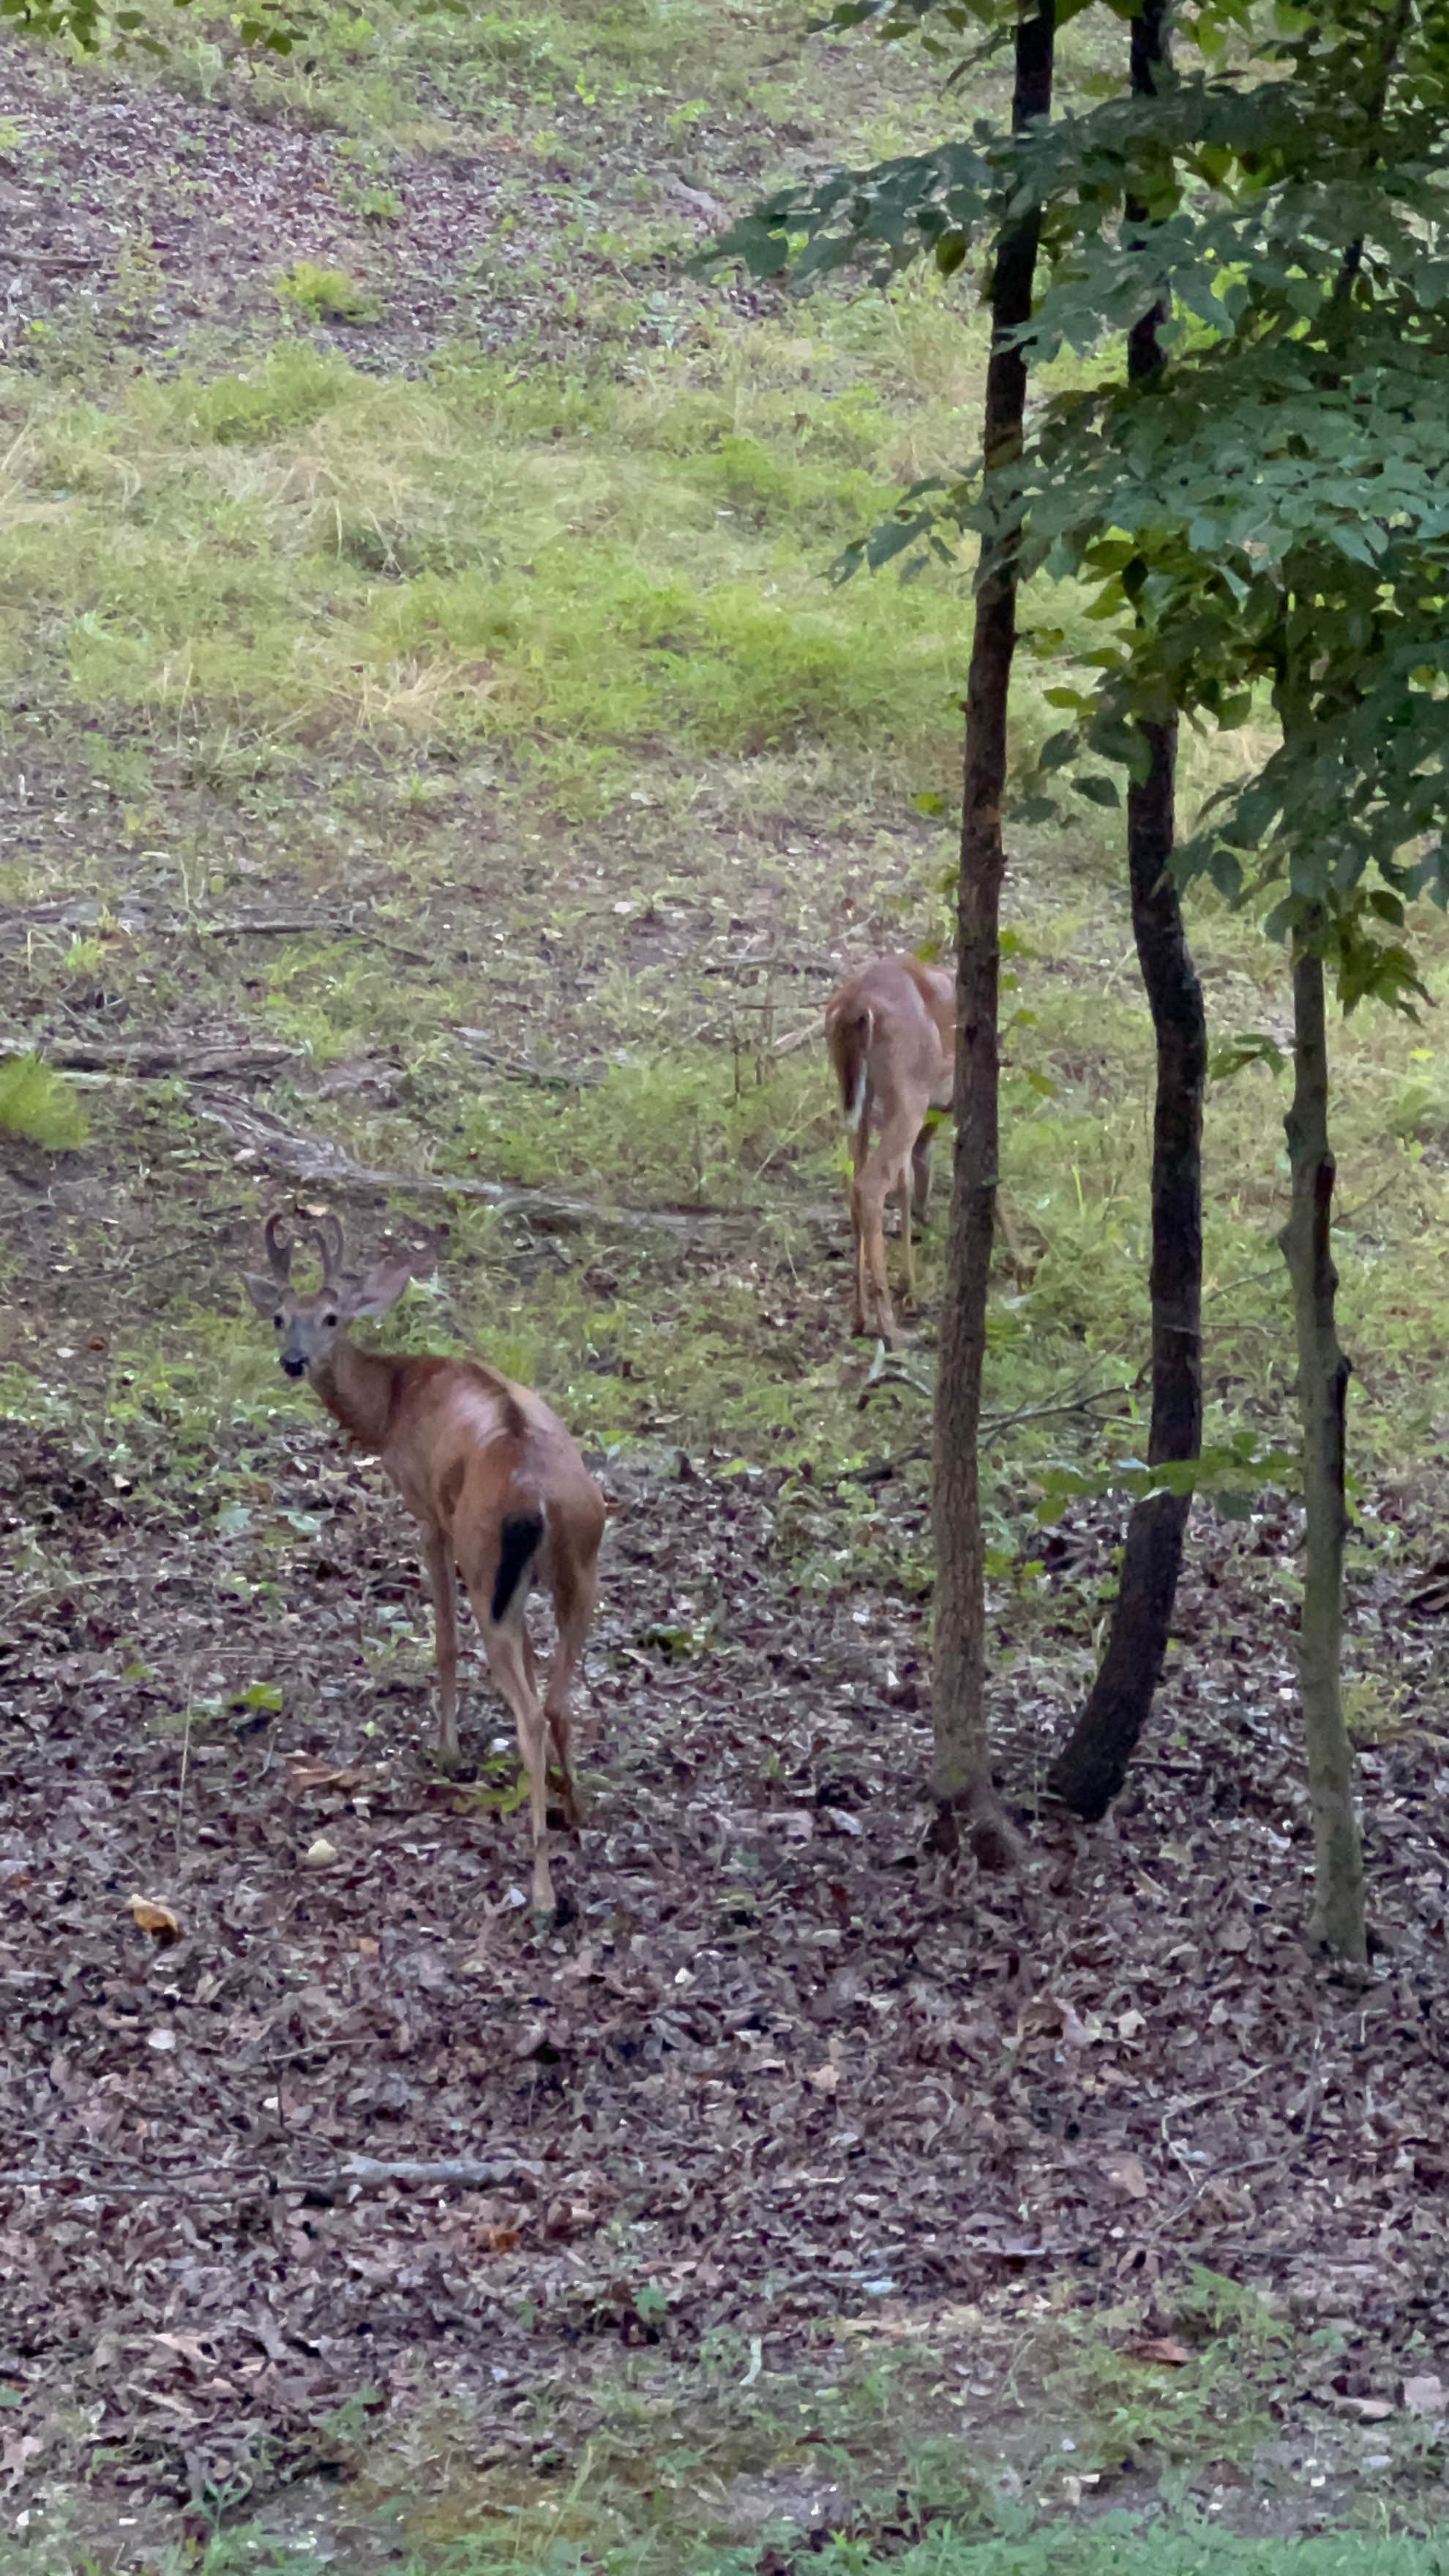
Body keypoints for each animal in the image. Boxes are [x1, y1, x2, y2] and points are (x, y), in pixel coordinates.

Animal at [246, 1210, 603, 1916]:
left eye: (331, 1316)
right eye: (279, 1316)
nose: (293, 1362)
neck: (391, 1405)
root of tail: (540, 1497)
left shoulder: (430, 1516)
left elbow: (441, 1641)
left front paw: (446, 1750)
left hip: (484, 1555)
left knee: (528, 1711)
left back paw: (542, 1887)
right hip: (581, 1563)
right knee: (557, 1701)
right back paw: (574, 1809)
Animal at [820, 953, 954, 1349]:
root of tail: (854, 1004)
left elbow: (906, 1181)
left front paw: (909, 1289)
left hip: (855, 1095)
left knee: (857, 1183)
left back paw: (860, 1317)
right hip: (908, 1091)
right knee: (873, 1183)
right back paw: (889, 1326)